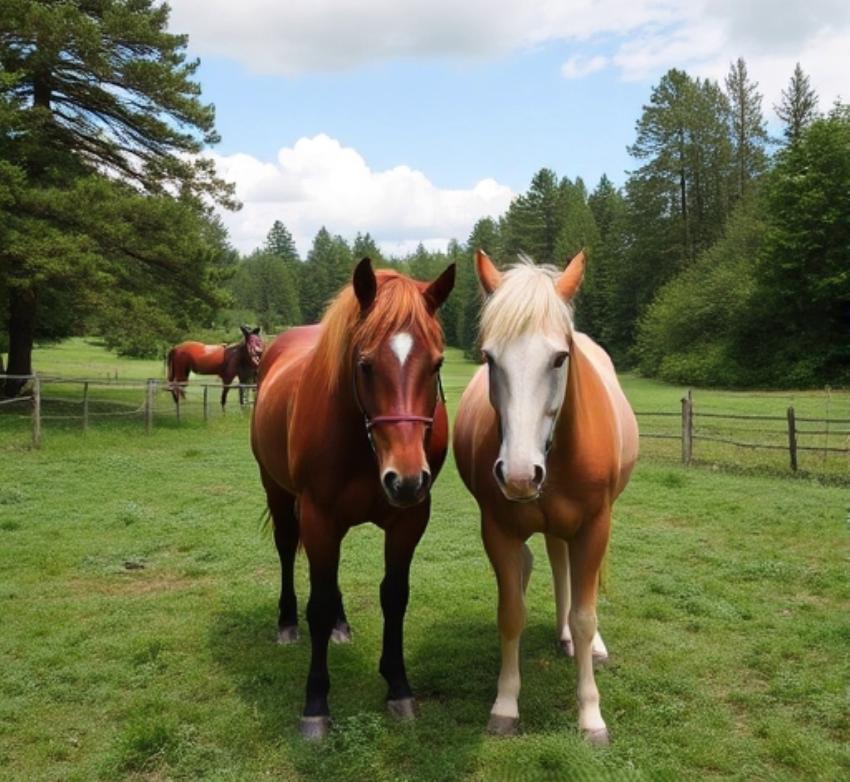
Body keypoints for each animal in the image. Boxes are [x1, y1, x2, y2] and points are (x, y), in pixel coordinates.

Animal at [250, 258, 455, 740]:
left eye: (437, 363)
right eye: (365, 364)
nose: (406, 479)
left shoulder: (409, 520)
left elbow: (394, 596)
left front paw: (398, 687)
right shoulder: (319, 517)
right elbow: (318, 604)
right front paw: (315, 705)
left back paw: (341, 626)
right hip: (280, 493)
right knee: (287, 551)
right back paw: (286, 623)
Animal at [453, 250, 638, 745]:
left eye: (559, 358)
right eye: (489, 358)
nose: (519, 475)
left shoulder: (594, 528)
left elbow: (585, 614)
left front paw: (591, 715)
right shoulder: (498, 531)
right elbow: (511, 613)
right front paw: (505, 704)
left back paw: (582, 644)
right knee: (554, 565)